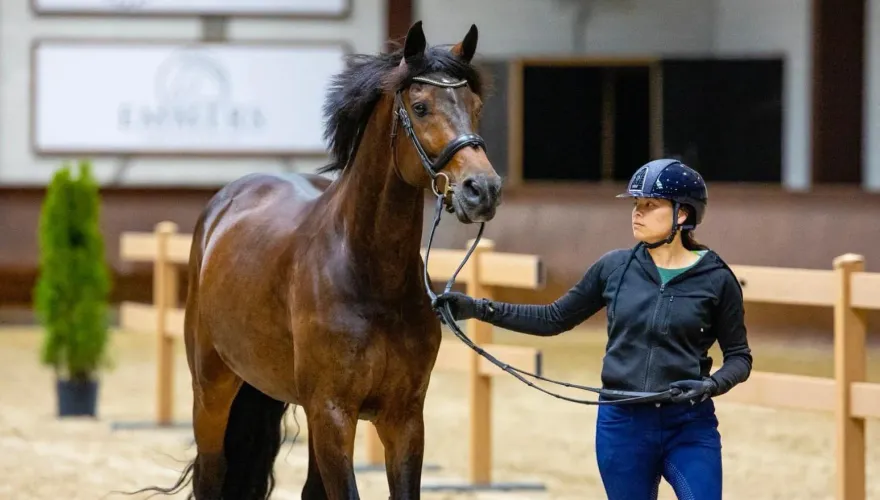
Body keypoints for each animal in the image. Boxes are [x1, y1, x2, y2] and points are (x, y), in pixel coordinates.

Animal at [133, 20, 502, 500]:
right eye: (420, 107)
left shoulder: (403, 418)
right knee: (210, 475)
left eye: (475, 106)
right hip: (212, 391)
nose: (483, 189)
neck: (369, 277)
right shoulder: (332, 413)